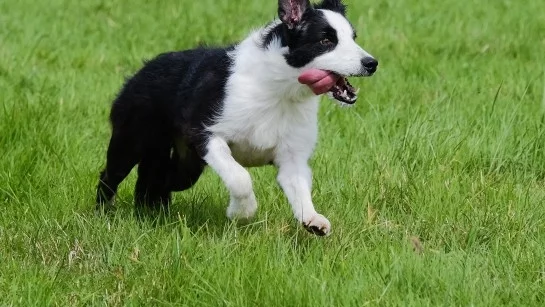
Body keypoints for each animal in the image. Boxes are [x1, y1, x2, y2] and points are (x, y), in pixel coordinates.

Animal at [95, 0, 376, 237]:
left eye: (353, 38)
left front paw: (313, 220)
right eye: (326, 40)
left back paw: (150, 213)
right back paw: (104, 214)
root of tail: (141, 71)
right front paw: (240, 213)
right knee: (110, 175)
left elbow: (299, 189)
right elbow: (240, 178)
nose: (371, 63)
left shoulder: (292, 158)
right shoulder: (205, 134)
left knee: (155, 179)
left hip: (185, 165)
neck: (279, 89)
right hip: (131, 140)